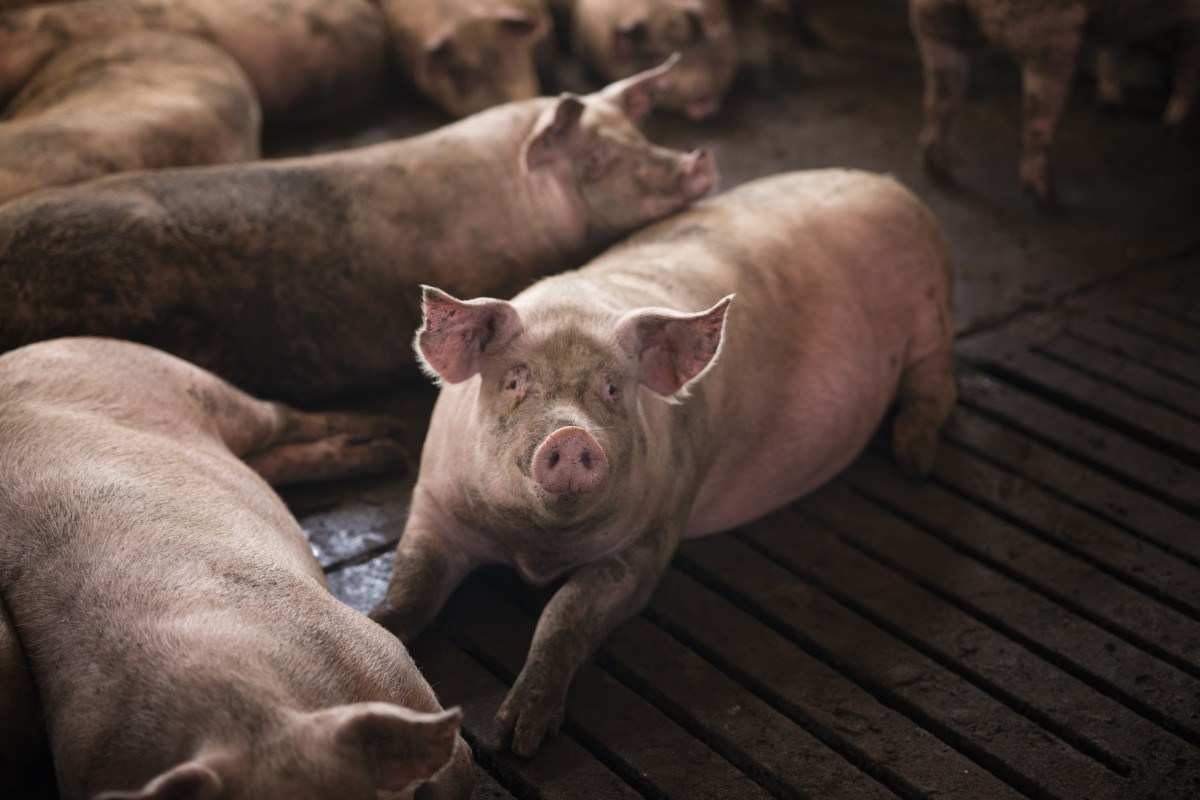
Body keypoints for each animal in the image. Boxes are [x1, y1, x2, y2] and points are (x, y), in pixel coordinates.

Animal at [0, 337, 475, 800]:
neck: (250, 716)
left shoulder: (390, 666)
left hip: (197, 384)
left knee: (282, 416)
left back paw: (391, 440)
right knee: (273, 460)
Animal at [369, 169, 958, 757]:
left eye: (612, 388)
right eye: (515, 382)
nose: (570, 435)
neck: (536, 549)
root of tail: (890, 185)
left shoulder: (651, 538)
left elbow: (564, 613)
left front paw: (517, 739)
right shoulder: (433, 505)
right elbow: (411, 584)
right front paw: (375, 627)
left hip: (932, 315)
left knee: (935, 385)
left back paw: (915, 461)